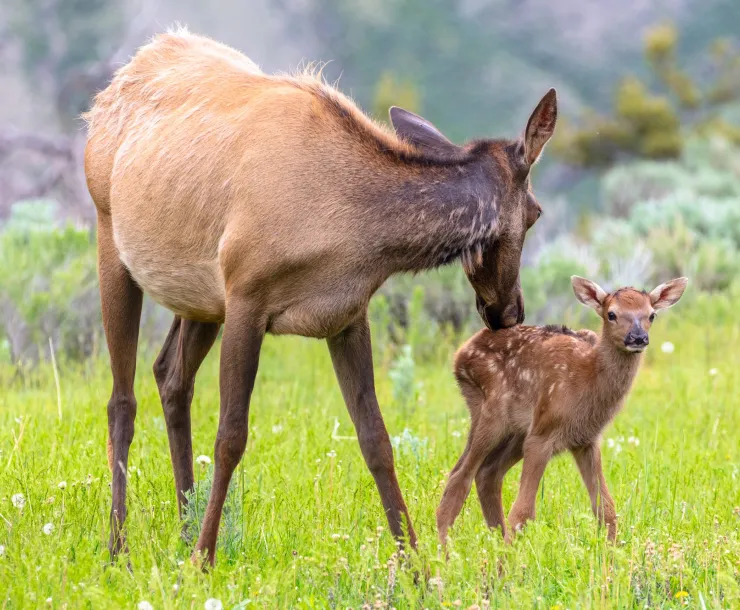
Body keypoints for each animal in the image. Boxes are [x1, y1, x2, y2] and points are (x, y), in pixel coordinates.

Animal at [82, 27, 558, 566]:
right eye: (536, 212)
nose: (509, 311)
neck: (352, 230)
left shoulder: (347, 314)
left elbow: (377, 439)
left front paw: (413, 564)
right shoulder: (246, 294)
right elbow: (231, 436)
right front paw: (206, 558)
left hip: (201, 295)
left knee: (171, 376)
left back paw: (182, 531)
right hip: (111, 236)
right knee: (122, 401)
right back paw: (120, 545)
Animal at [437, 275, 688, 545]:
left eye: (651, 314)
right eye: (611, 314)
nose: (638, 338)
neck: (586, 380)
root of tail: (460, 354)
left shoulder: (586, 440)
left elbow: (606, 509)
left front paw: (610, 556)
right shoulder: (542, 434)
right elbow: (523, 512)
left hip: (516, 430)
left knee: (487, 473)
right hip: (492, 413)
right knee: (459, 477)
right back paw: (445, 550)